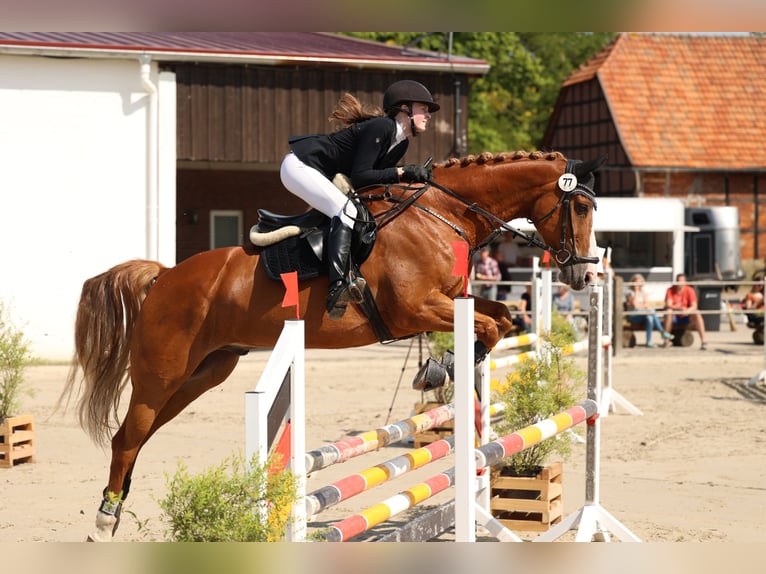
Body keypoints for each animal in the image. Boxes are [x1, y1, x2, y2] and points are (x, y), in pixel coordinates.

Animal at [63, 150, 604, 544]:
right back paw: (104, 520)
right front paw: (440, 368)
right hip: (163, 371)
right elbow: (489, 327)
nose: (584, 274)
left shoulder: (455, 298)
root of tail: (164, 276)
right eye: (580, 207)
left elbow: (502, 318)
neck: (442, 214)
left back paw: (117, 505)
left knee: (137, 436)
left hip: (206, 371)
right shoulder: (414, 309)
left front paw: (446, 365)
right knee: (127, 437)